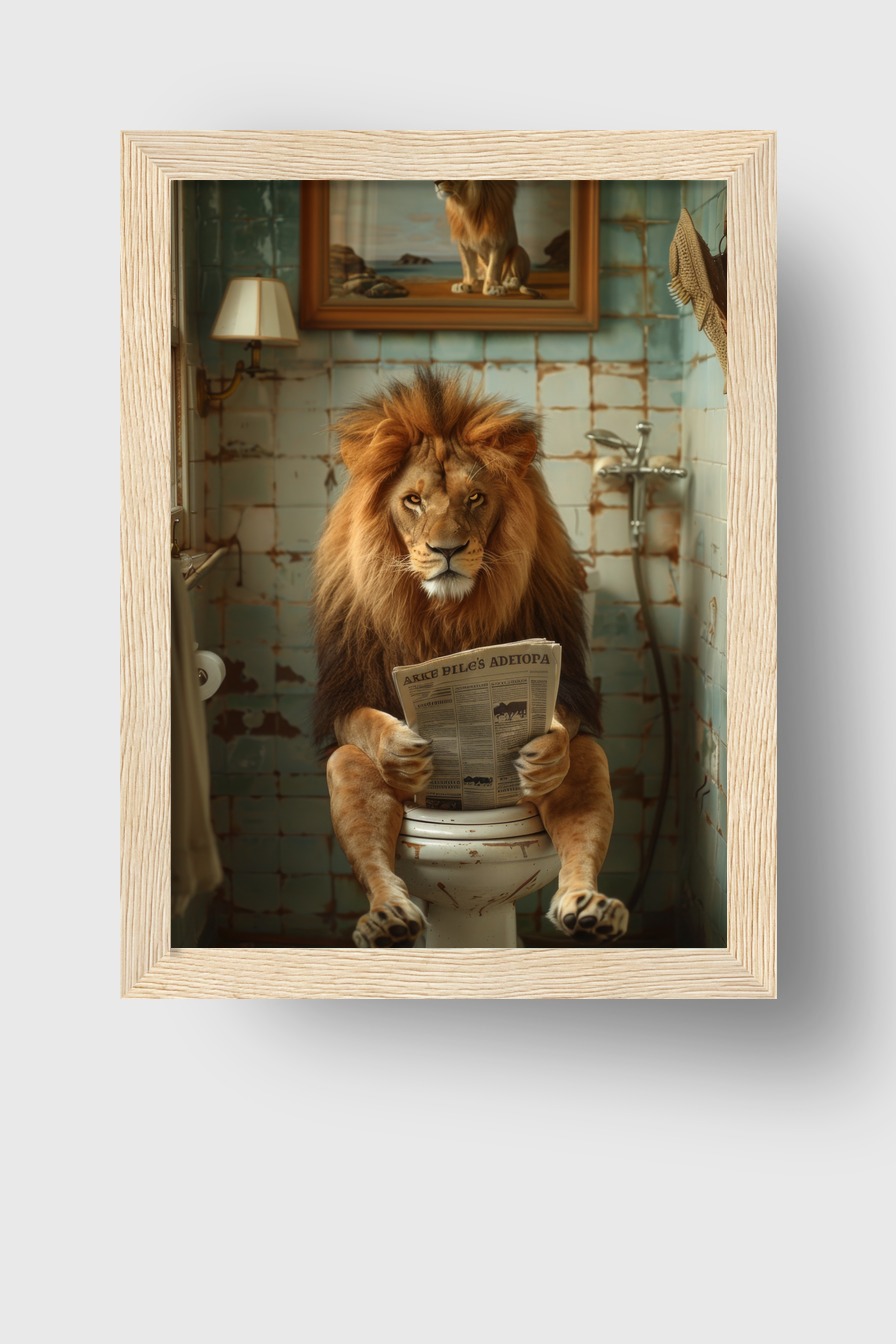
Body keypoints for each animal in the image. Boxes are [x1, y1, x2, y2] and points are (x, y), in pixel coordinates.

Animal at [312, 367, 625, 948]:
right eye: (413, 501)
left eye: (475, 497)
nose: (447, 549)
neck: (446, 614)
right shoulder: (347, 686)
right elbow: (366, 723)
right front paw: (400, 750)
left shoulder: (565, 670)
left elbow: (564, 722)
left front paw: (544, 752)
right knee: (354, 778)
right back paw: (388, 920)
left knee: (585, 761)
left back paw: (589, 910)